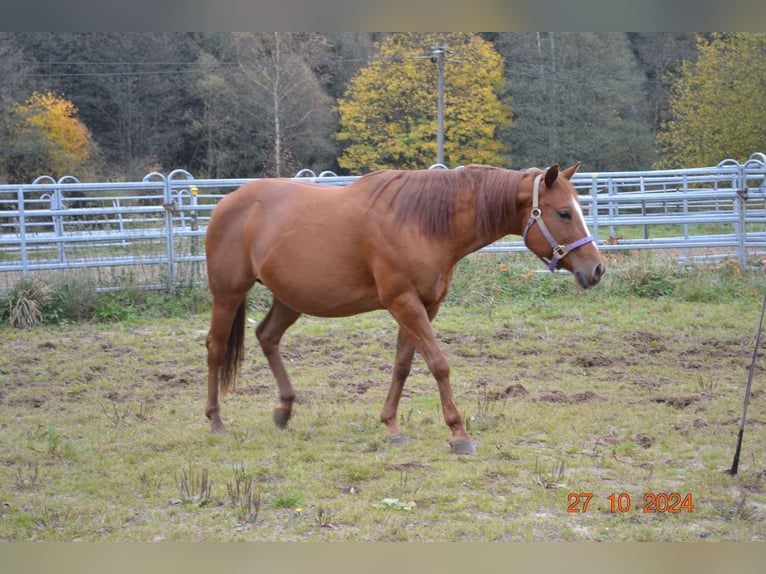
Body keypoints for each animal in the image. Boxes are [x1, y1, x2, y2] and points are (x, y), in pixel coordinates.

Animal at [204, 163, 608, 454]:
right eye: (564, 214)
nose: (597, 269)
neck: (422, 223)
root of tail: (227, 203)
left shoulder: (425, 306)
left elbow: (403, 365)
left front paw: (391, 426)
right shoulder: (403, 302)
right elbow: (438, 364)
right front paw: (459, 433)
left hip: (291, 299)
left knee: (267, 336)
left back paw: (284, 410)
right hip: (227, 294)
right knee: (215, 348)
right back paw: (215, 421)